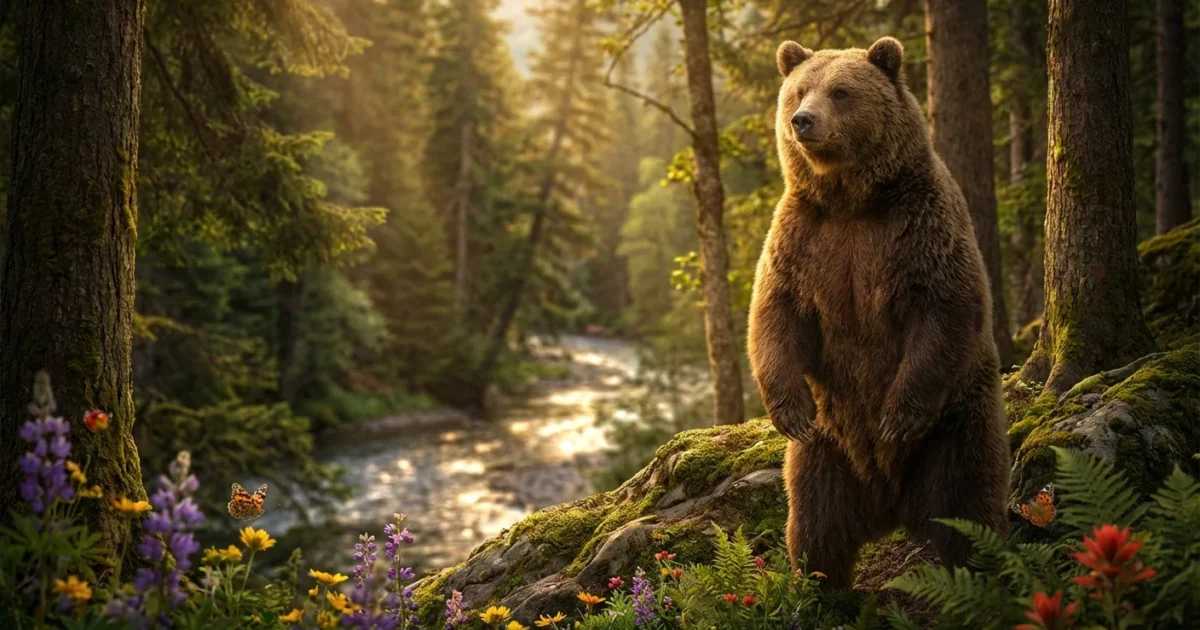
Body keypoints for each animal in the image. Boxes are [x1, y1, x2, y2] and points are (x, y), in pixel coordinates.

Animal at [747, 36, 1011, 589]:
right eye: (798, 90)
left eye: (841, 91)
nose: (803, 120)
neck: (852, 200)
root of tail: (891, 507)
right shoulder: (804, 238)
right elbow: (776, 313)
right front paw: (789, 411)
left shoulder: (919, 230)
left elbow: (945, 308)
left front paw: (895, 418)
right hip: (827, 449)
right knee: (815, 521)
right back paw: (820, 589)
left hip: (957, 426)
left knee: (969, 504)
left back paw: (981, 573)